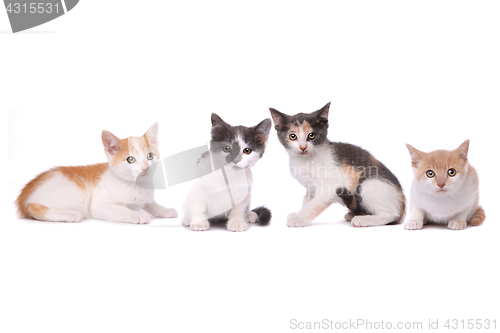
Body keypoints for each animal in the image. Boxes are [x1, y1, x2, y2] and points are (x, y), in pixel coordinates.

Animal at [16, 122, 178, 223]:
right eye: (130, 159)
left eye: (150, 156)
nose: (145, 168)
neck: (136, 186)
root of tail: (25, 191)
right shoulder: (99, 205)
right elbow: (121, 210)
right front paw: (137, 214)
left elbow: (150, 203)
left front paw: (164, 210)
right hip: (74, 195)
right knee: (33, 207)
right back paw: (69, 214)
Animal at [270, 102, 406, 227]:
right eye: (292, 136)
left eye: (311, 135)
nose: (303, 147)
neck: (306, 160)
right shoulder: (310, 187)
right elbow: (307, 201)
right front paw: (298, 213)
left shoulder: (331, 187)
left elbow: (312, 205)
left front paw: (298, 219)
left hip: (369, 182)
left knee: (390, 214)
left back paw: (363, 219)